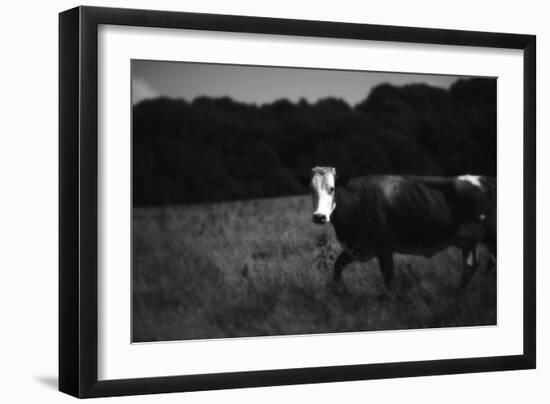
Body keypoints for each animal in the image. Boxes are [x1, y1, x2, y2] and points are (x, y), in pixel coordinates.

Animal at [300, 166, 498, 290]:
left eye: (332, 188)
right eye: (311, 189)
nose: (319, 216)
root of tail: (487, 179)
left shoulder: (384, 247)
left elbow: (388, 278)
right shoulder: (358, 246)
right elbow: (337, 267)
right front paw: (339, 293)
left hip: (491, 236)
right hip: (468, 240)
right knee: (471, 265)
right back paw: (458, 294)